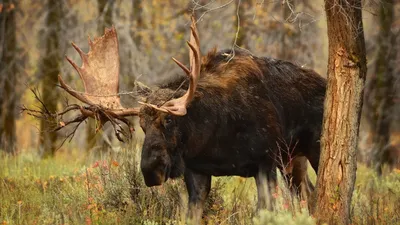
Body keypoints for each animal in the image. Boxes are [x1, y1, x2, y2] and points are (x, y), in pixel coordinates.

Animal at [37, 17, 326, 221]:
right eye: (142, 126)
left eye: (169, 121)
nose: (151, 171)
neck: (216, 135)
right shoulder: (197, 171)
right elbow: (192, 215)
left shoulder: (264, 162)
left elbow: (264, 211)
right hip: (293, 159)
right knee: (310, 194)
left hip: (311, 150)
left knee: (314, 193)